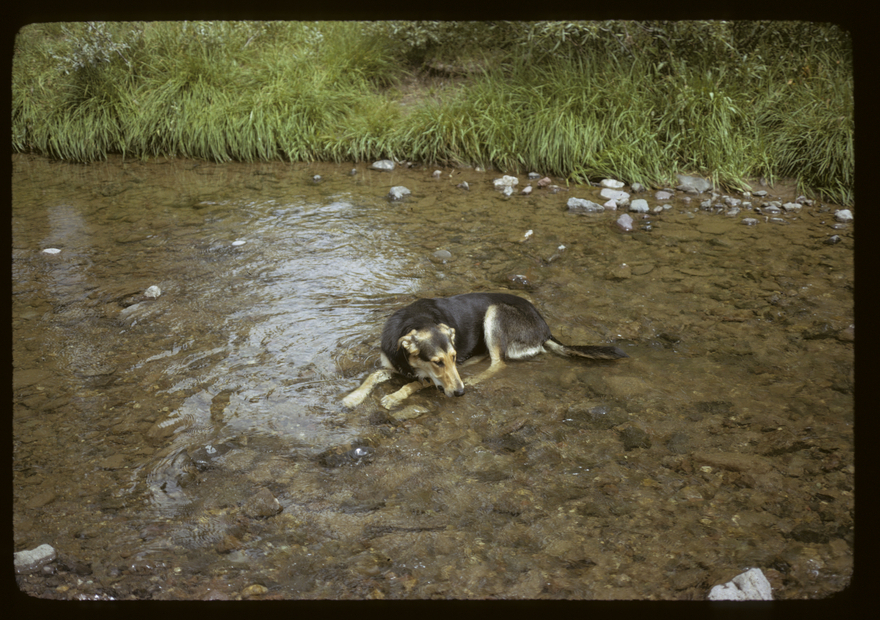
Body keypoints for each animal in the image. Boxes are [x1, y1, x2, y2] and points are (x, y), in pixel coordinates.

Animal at [342, 292, 627, 410]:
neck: (416, 321)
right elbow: (371, 376)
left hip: (494, 312)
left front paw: (394, 397)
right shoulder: (392, 365)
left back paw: (473, 377)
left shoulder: (433, 380)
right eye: (437, 362)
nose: (459, 394)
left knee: (498, 364)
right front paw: (353, 398)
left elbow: (412, 384)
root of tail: (545, 328)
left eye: (452, 358)